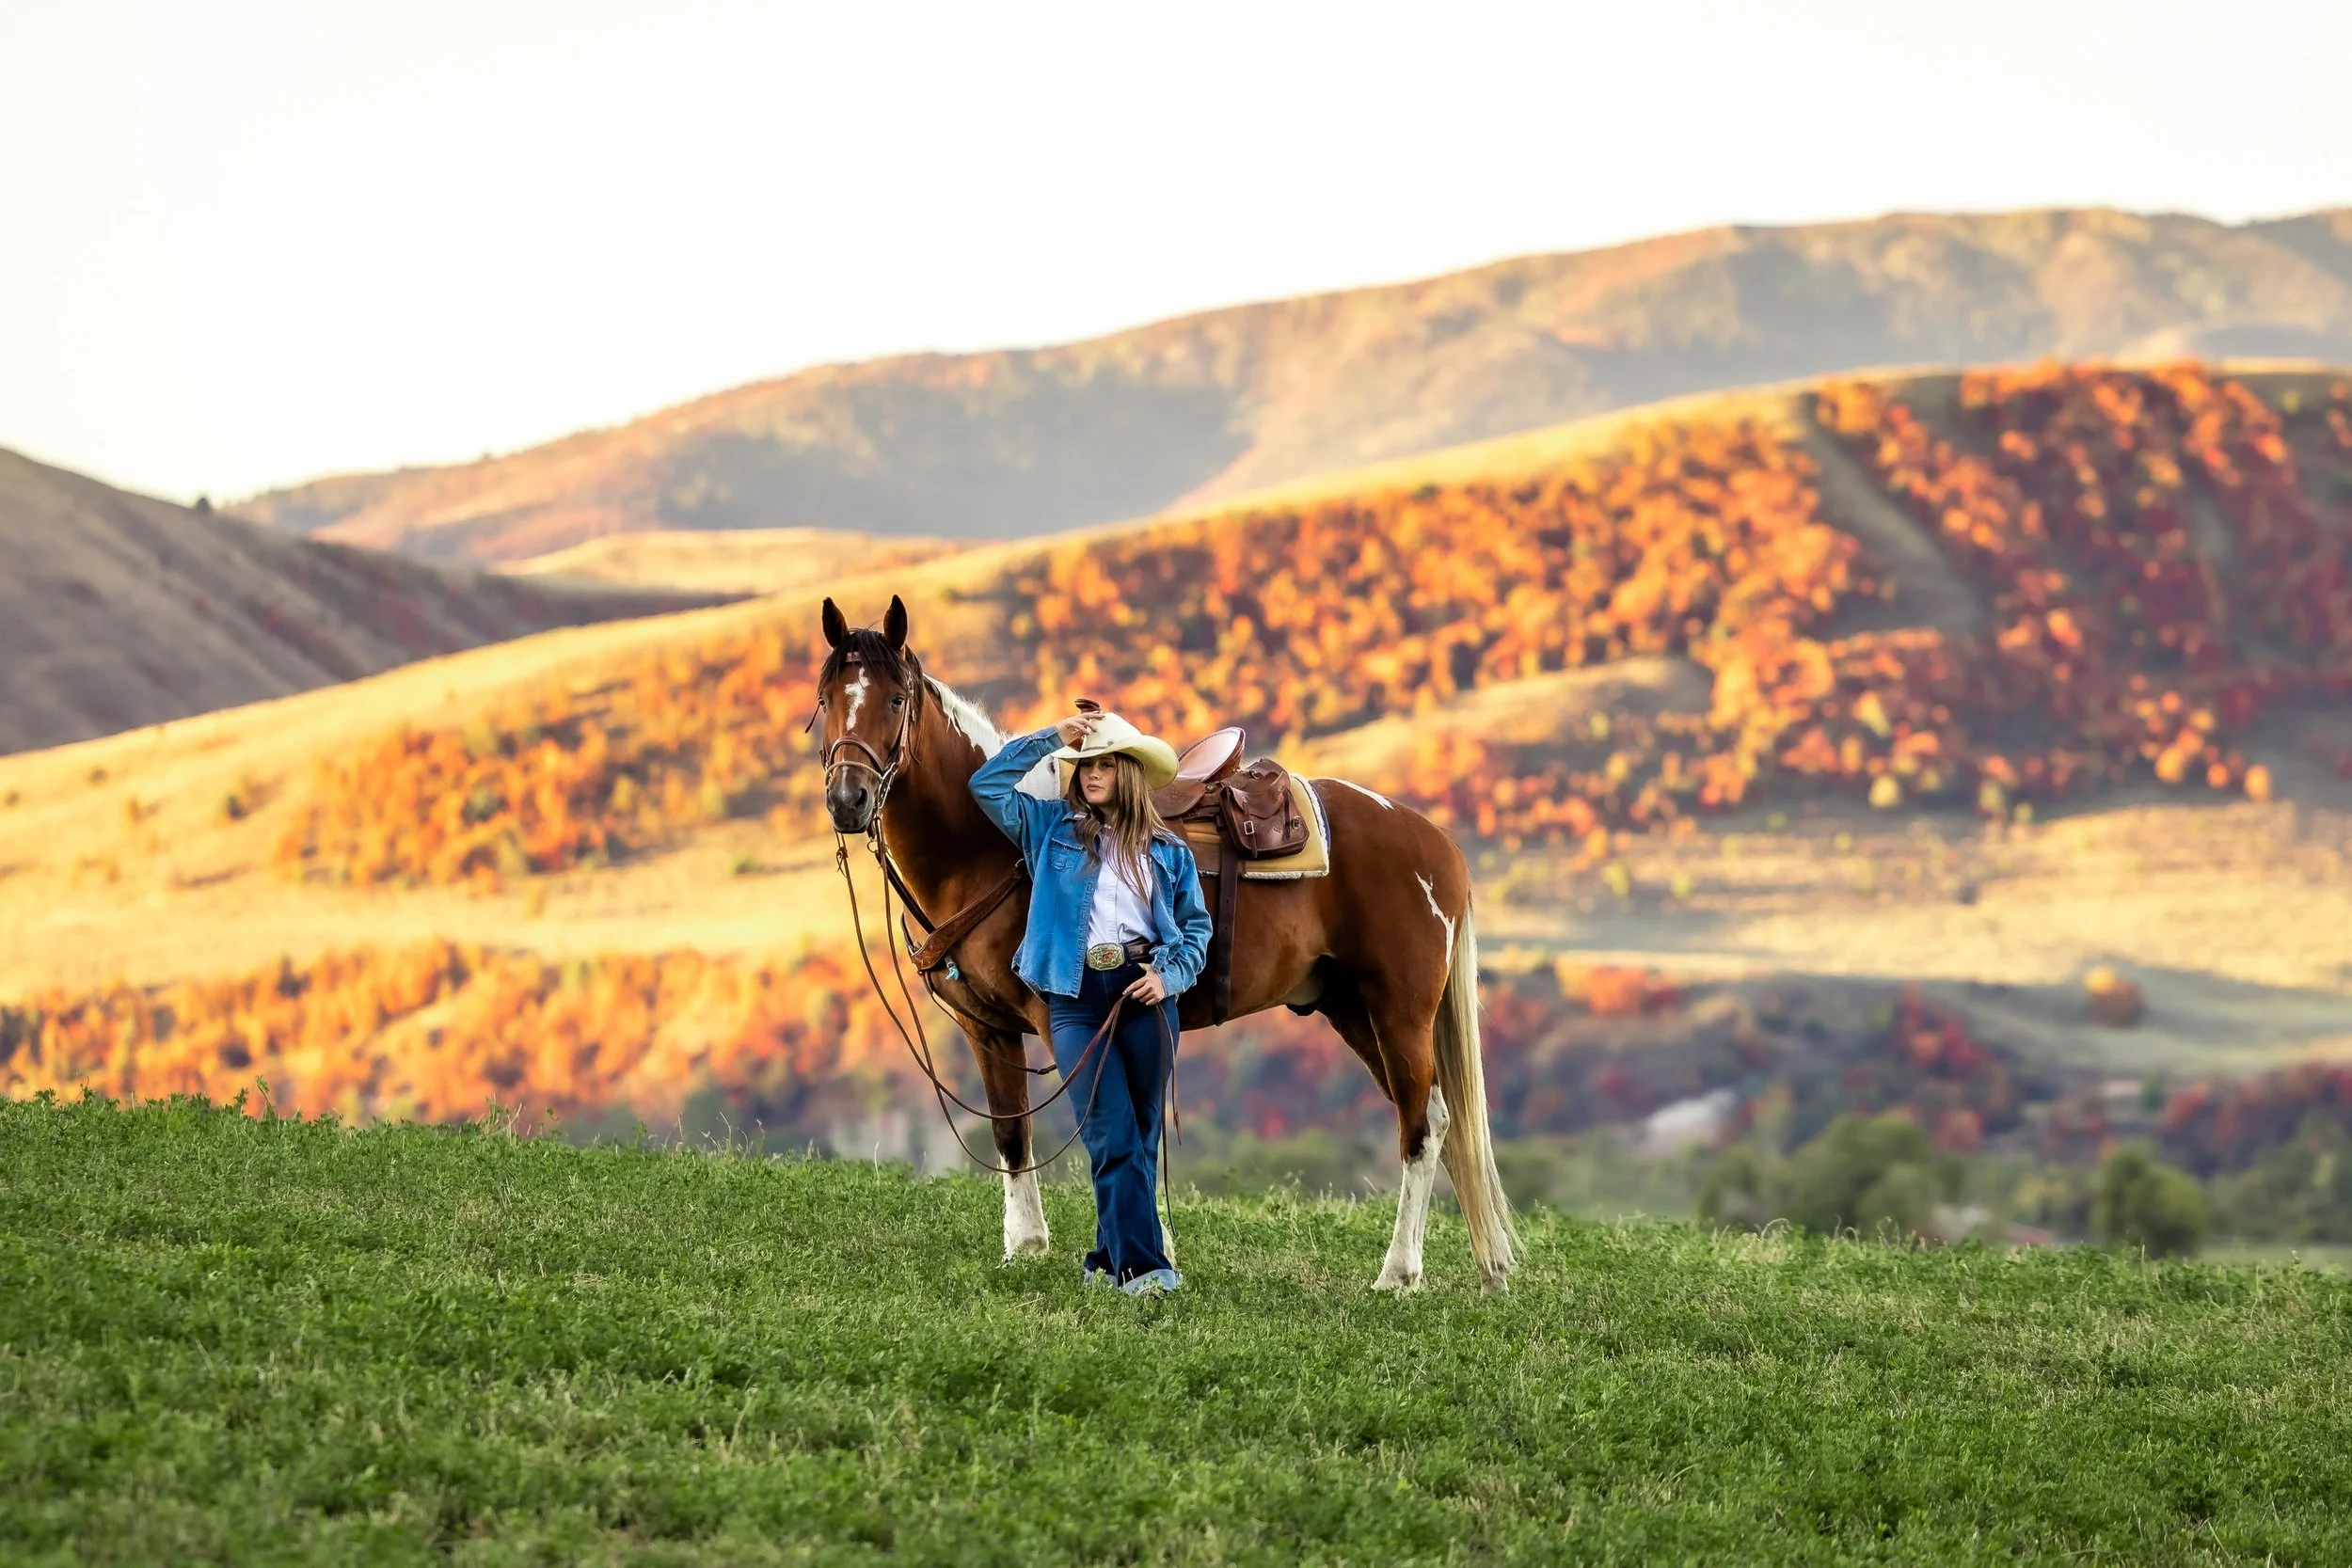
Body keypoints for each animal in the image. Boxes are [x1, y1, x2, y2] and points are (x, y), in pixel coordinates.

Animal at [814, 594, 1517, 1291]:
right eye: (826, 698)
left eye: (896, 700)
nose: (849, 798)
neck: (991, 842)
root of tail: (1433, 840)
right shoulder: (985, 1028)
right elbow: (1013, 1132)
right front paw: (1027, 1248)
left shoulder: (1060, 1016)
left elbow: (1111, 1123)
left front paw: (1142, 1253)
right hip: (1349, 1007)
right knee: (1435, 1116)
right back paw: (1485, 1269)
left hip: (1398, 1011)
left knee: (1422, 1124)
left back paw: (1399, 1273)